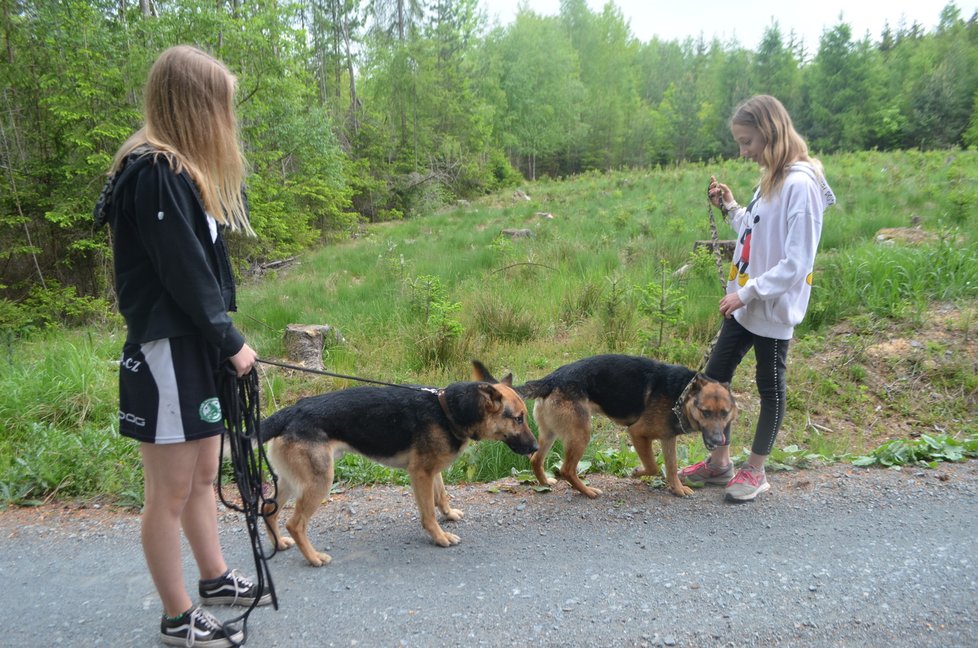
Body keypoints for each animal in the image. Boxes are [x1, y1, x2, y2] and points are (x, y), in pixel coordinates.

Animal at [258, 364, 532, 568]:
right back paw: (314, 558)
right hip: (319, 482)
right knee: (295, 524)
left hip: (291, 482)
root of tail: (292, 411)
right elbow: (428, 513)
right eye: (518, 419)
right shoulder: (421, 474)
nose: (535, 447)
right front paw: (440, 537)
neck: (448, 410)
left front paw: (449, 514)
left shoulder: (432, 470)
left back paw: (279, 544)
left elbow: (441, 495)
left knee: (268, 510)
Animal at [504, 356, 732, 498]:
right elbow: (653, 466)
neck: (681, 394)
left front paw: (677, 489)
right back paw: (587, 492)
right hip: (581, 434)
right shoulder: (638, 433)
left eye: (725, 413)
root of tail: (551, 379)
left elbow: (671, 467)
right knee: (567, 469)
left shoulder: (668, 438)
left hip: (549, 434)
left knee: (536, 459)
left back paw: (544, 483)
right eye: (705, 412)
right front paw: (637, 472)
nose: (719, 440)